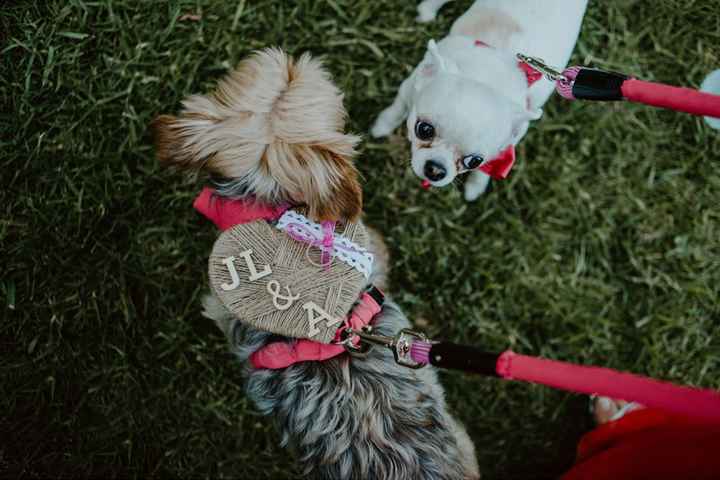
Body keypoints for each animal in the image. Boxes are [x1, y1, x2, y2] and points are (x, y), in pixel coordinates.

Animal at [372, 0, 584, 200]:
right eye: (424, 130)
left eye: (474, 161)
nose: (436, 170)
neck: (487, 77)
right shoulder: (409, 87)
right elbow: (397, 109)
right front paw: (381, 127)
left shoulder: (510, 142)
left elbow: (490, 166)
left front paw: (476, 186)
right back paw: (427, 10)